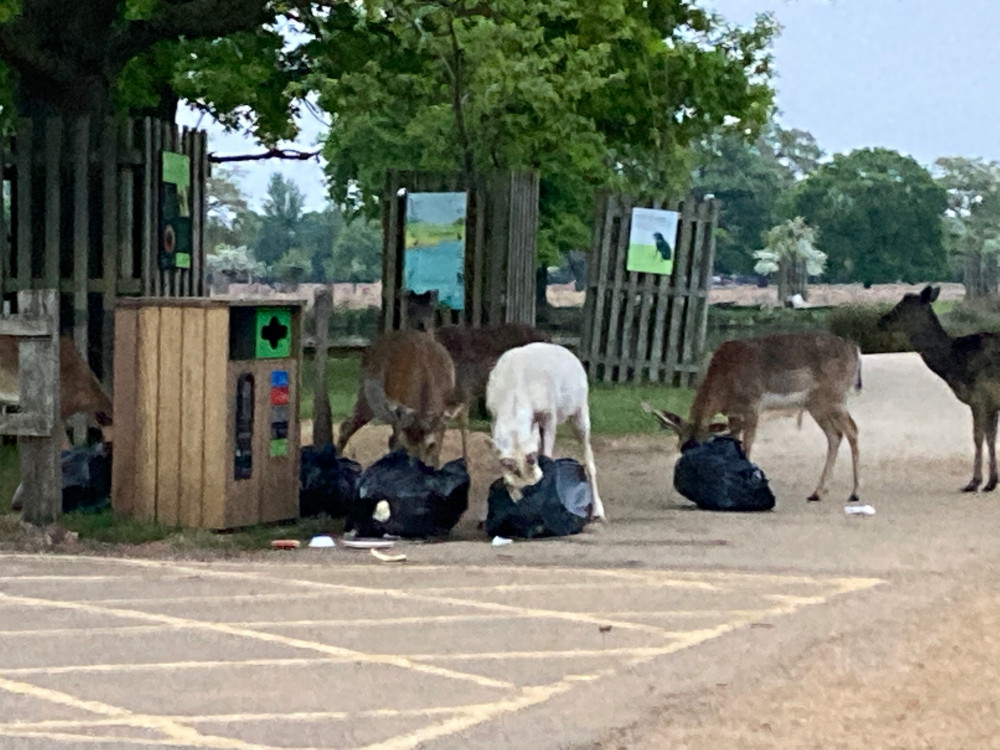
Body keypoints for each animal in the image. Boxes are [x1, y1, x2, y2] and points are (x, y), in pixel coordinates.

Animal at [336, 330, 468, 468]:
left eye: (431, 445)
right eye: (405, 446)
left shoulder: (441, 420)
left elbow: (436, 455)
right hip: (365, 396)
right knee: (347, 426)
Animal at [644, 334, 864, 506]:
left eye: (699, 445)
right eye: (681, 446)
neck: (724, 380)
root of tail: (855, 349)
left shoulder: (753, 404)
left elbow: (748, 444)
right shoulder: (733, 414)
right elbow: (735, 441)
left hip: (835, 396)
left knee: (852, 430)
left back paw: (854, 493)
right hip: (816, 404)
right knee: (835, 435)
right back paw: (817, 493)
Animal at [876, 286, 1000, 494]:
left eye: (902, 307)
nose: (881, 321)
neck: (953, 362)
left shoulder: (979, 397)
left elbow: (977, 436)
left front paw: (975, 483)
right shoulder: (991, 403)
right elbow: (990, 437)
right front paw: (991, 482)